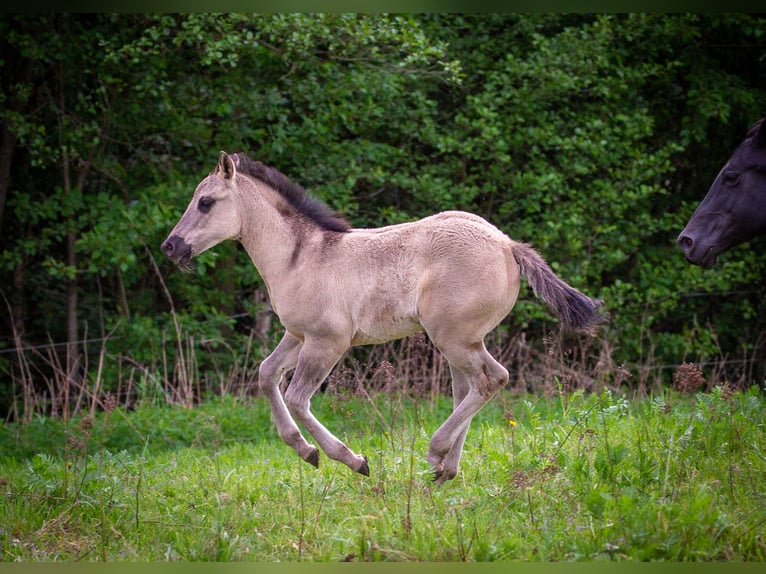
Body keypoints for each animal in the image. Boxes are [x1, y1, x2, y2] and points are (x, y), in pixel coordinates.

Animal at [162, 151, 605, 483]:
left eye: (205, 202)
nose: (170, 247)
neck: (299, 258)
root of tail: (507, 245)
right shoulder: (297, 336)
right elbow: (266, 374)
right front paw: (305, 451)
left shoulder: (327, 341)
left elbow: (298, 397)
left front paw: (354, 460)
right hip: (459, 341)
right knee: (468, 388)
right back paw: (446, 470)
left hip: (453, 338)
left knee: (492, 378)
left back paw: (436, 453)